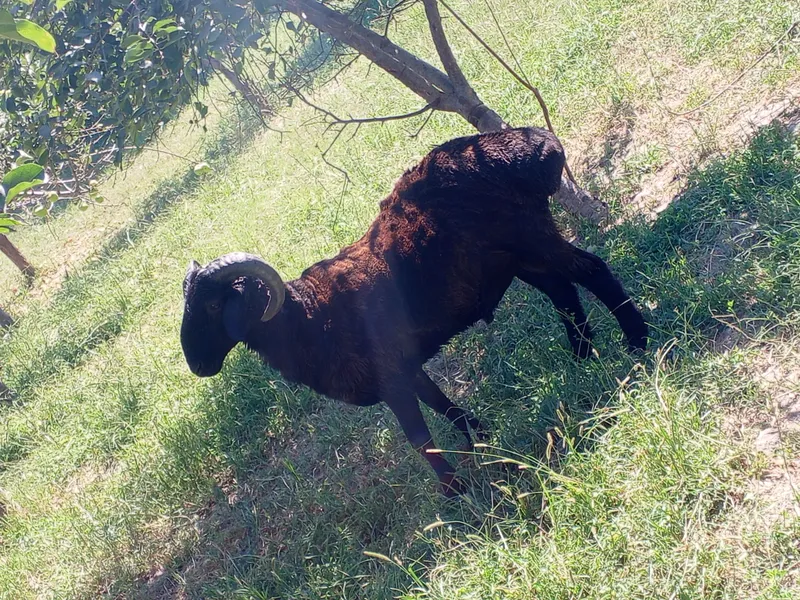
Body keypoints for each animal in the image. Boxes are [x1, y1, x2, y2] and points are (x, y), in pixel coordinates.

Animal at [180, 127, 648, 496]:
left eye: (214, 304)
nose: (198, 365)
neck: (311, 316)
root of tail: (538, 144)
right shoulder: (405, 368)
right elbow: (445, 407)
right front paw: (482, 443)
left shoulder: (391, 379)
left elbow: (419, 437)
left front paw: (453, 491)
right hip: (517, 258)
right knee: (563, 293)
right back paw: (582, 358)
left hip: (531, 238)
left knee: (592, 272)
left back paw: (636, 343)